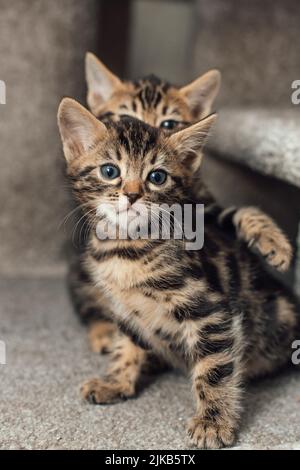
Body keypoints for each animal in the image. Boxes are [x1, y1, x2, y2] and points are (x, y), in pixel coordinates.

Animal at [58, 99, 300, 448]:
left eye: (157, 177)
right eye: (109, 171)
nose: (132, 195)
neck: (127, 250)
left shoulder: (209, 312)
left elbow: (214, 369)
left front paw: (213, 422)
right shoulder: (125, 310)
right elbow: (126, 346)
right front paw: (116, 381)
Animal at [69, 53, 290, 352]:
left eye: (168, 125)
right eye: (126, 119)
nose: (148, 133)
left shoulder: (205, 209)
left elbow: (238, 212)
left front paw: (274, 242)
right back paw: (104, 329)